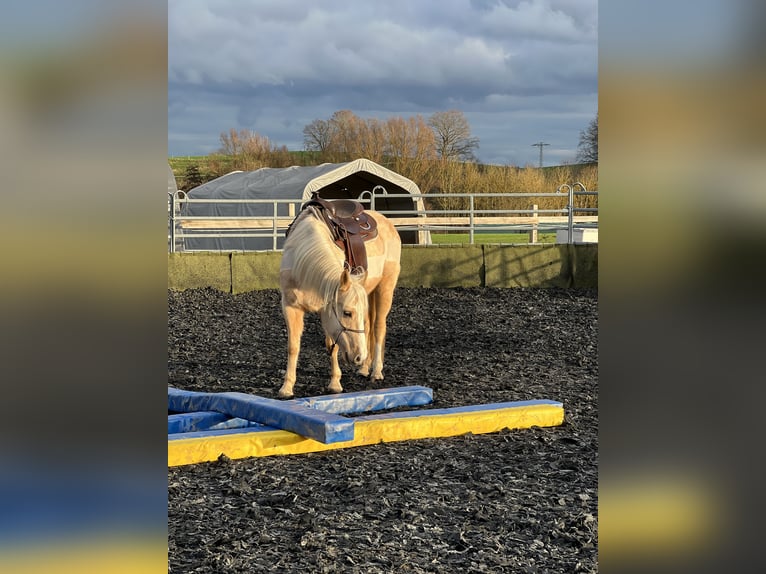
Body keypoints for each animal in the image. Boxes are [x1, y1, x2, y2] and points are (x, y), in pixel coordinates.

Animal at [280, 205, 402, 398]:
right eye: (347, 313)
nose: (359, 356)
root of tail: (387, 222)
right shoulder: (291, 306)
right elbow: (293, 347)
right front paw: (287, 387)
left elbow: (333, 345)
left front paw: (335, 383)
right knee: (369, 327)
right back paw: (364, 368)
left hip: (385, 288)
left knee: (378, 328)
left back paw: (376, 371)